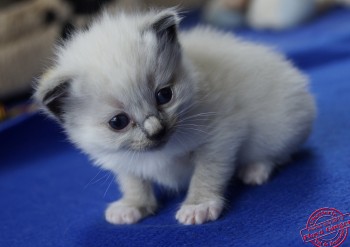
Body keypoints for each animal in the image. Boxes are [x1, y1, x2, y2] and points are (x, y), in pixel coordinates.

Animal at [34, 7, 316, 225]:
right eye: (118, 122)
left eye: (164, 95)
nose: (156, 130)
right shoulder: (124, 158)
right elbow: (133, 181)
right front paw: (133, 206)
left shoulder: (220, 137)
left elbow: (206, 173)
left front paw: (198, 206)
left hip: (282, 126)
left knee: (280, 153)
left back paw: (255, 169)